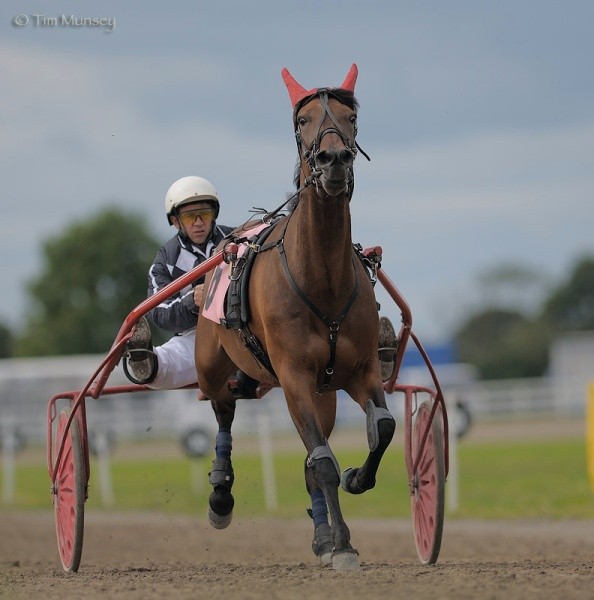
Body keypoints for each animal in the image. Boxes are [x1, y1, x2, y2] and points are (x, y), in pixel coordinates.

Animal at [197, 65, 396, 572]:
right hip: (212, 365)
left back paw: (321, 531)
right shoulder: (294, 378)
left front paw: (354, 481)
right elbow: (321, 461)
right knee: (222, 409)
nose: (333, 159)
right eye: (303, 120)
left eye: (351, 117)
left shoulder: (361, 370)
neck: (321, 278)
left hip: (324, 393)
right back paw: (221, 494)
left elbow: (381, 429)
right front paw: (343, 545)